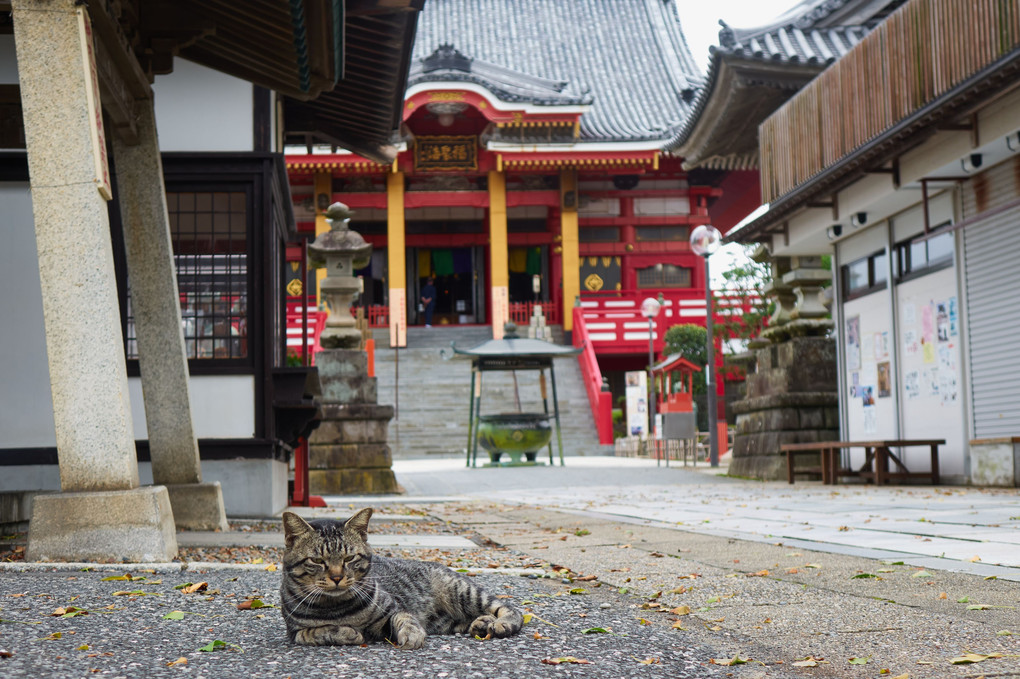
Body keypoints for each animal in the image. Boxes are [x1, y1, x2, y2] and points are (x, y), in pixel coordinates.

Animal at [281, 507, 526, 644]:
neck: (336, 608)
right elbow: (314, 632)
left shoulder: (392, 610)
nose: (336, 577)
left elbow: (405, 619)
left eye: (349, 558)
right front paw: (346, 633)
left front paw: (412, 634)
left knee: (510, 609)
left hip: (464, 593)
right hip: (447, 621)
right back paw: (482, 623)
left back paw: (500, 623)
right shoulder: (294, 632)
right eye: (317, 561)